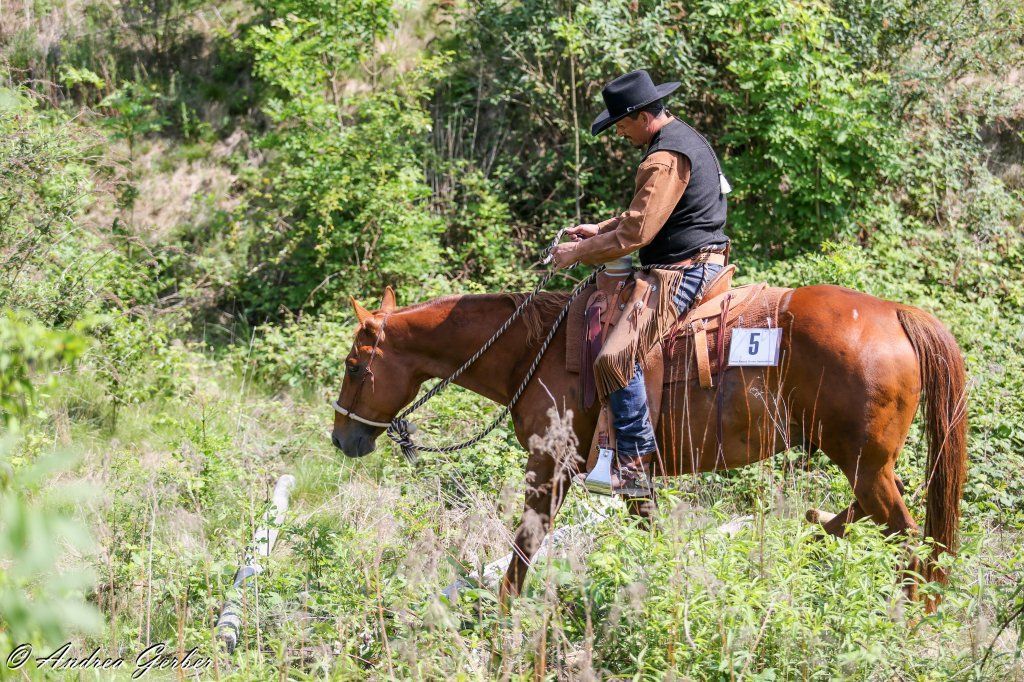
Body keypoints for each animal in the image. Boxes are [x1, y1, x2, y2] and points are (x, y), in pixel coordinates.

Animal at [330, 281, 967, 608]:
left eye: (355, 367)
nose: (342, 437)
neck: (535, 350)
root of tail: (897, 313)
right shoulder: (635, 476)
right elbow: (650, 534)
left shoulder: (551, 465)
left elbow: (525, 543)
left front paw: (502, 614)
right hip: (868, 463)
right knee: (883, 517)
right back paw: (816, 529)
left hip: (863, 463)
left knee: (914, 543)